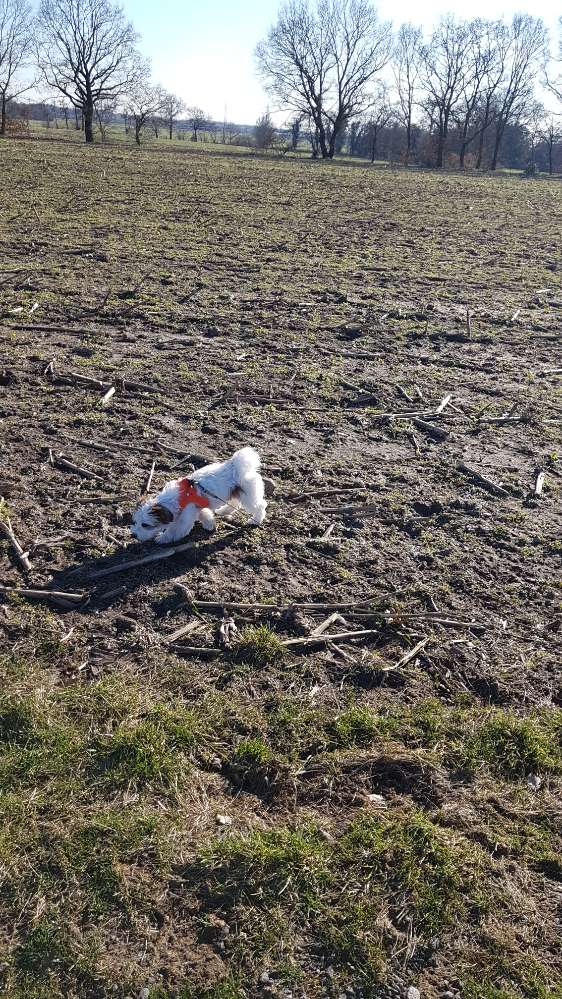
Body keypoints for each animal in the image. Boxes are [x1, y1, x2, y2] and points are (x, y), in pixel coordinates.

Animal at [130, 448, 266, 544]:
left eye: (145, 525)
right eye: (135, 522)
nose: (134, 535)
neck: (178, 498)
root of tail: (236, 466)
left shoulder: (185, 516)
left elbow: (175, 530)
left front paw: (163, 538)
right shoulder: (196, 507)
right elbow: (205, 514)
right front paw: (209, 524)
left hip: (248, 496)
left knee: (260, 506)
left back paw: (255, 520)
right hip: (236, 494)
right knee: (234, 504)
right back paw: (223, 511)